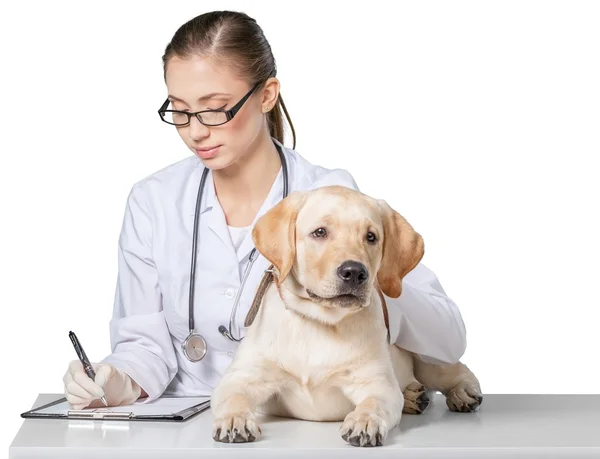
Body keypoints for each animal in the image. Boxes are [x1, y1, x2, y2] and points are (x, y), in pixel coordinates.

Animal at [211, 185, 482, 448]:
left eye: (371, 237)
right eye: (320, 232)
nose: (354, 272)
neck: (319, 322)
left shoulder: (378, 384)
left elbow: (373, 403)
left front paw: (364, 421)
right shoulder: (242, 377)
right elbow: (233, 397)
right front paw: (234, 419)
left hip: (428, 353)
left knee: (456, 369)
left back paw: (463, 392)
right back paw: (413, 397)